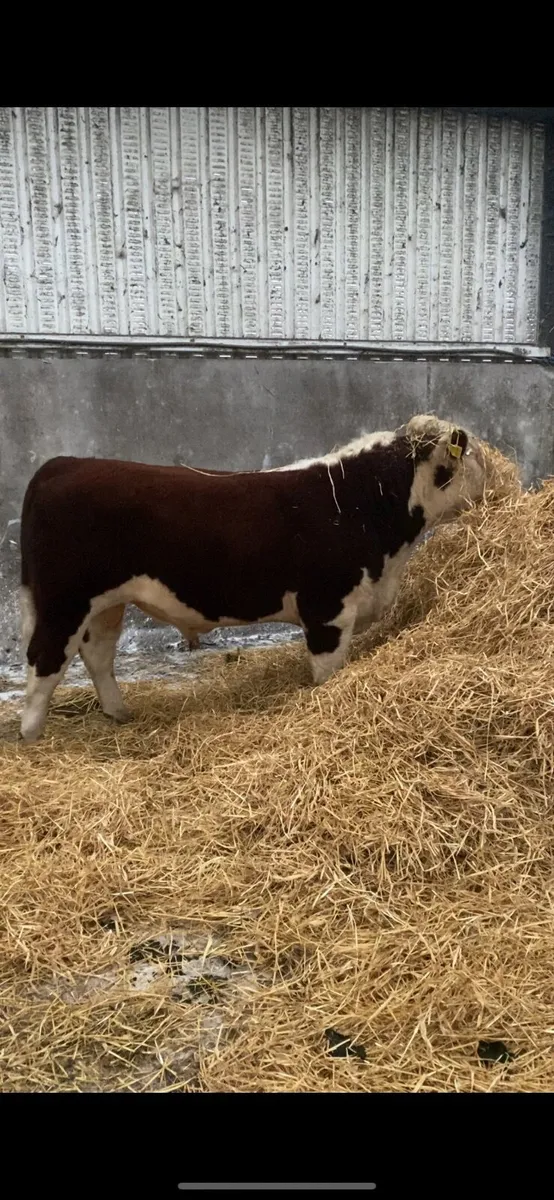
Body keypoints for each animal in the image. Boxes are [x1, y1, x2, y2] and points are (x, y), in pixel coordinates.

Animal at [18, 414, 486, 742]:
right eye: (472, 455)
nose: (495, 484)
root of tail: (63, 464)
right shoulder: (326, 610)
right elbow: (327, 674)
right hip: (63, 600)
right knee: (45, 660)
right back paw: (30, 736)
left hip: (107, 603)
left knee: (97, 655)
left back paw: (118, 713)